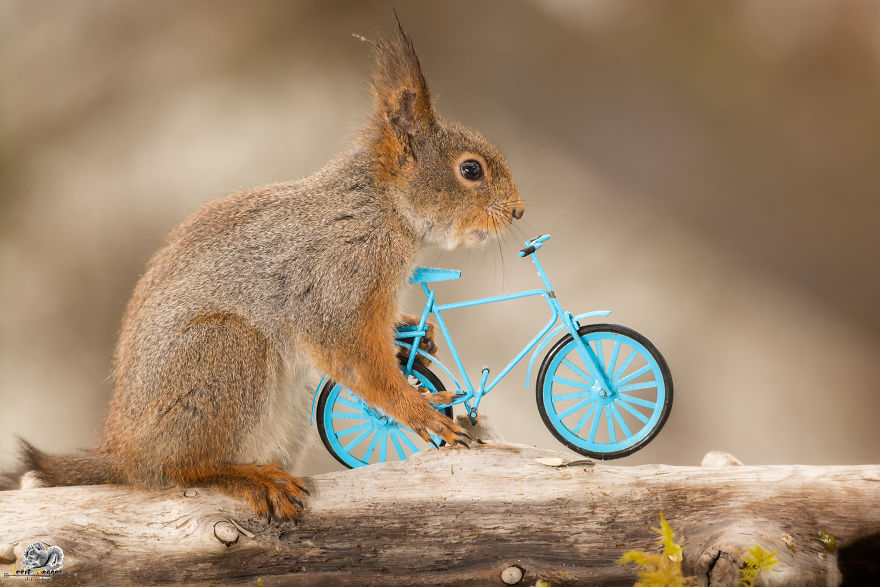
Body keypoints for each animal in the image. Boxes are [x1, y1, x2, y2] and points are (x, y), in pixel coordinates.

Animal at [4, 19, 524, 520]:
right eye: (471, 170)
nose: (518, 212)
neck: (382, 206)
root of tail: (126, 452)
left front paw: (414, 330)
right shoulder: (338, 276)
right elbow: (355, 359)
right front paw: (421, 413)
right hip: (225, 353)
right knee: (182, 469)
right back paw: (250, 479)